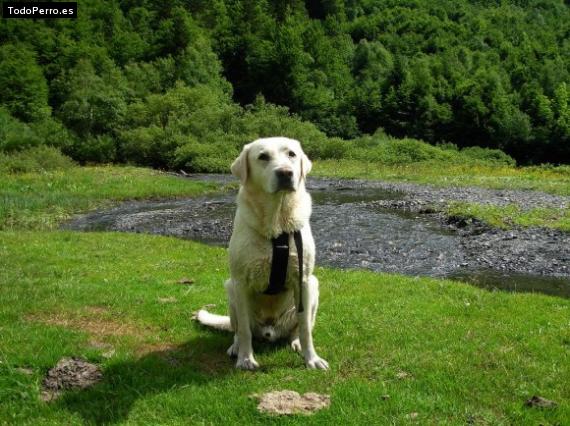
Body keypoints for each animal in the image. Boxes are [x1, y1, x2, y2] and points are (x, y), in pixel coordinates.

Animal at [195, 136, 328, 370]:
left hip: (313, 286)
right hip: (230, 289)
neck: (277, 223)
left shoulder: (303, 279)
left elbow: (305, 329)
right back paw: (236, 347)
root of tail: (269, 331)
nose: (285, 173)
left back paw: (295, 342)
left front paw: (312, 359)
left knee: (298, 327)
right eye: (263, 156)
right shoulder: (240, 282)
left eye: (292, 154)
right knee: (238, 329)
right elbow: (244, 331)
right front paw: (246, 359)